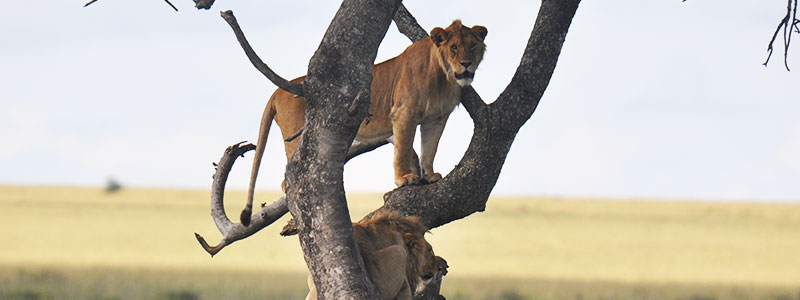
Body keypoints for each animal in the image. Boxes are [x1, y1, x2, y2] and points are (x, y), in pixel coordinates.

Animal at [238, 19, 488, 225]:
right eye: (453, 47)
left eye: (472, 46)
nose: (466, 63)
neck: (444, 77)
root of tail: (278, 92)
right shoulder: (403, 113)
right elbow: (404, 149)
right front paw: (404, 179)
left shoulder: (436, 118)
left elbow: (430, 148)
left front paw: (429, 175)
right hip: (297, 140)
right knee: (288, 181)